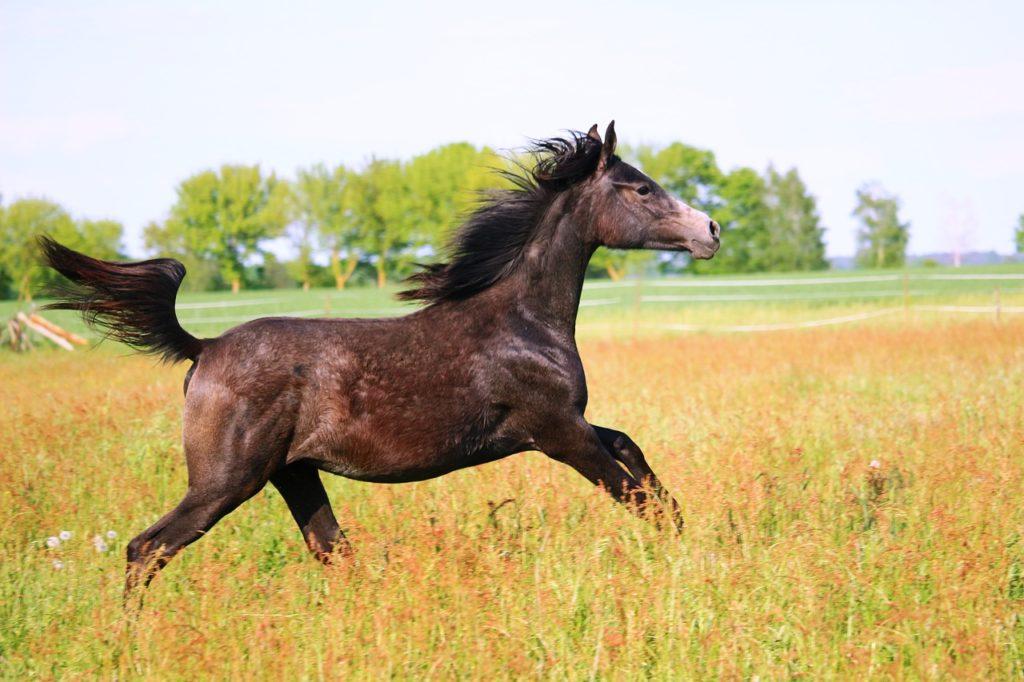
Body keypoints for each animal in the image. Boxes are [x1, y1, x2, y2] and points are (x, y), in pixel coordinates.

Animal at [41, 122, 720, 593]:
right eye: (641, 188)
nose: (710, 231)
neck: (521, 322)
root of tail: (202, 348)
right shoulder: (556, 432)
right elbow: (634, 495)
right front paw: (684, 556)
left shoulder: (564, 426)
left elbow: (633, 452)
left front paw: (693, 531)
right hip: (225, 482)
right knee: (146, 549)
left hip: (293, 473)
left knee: (330, 549)